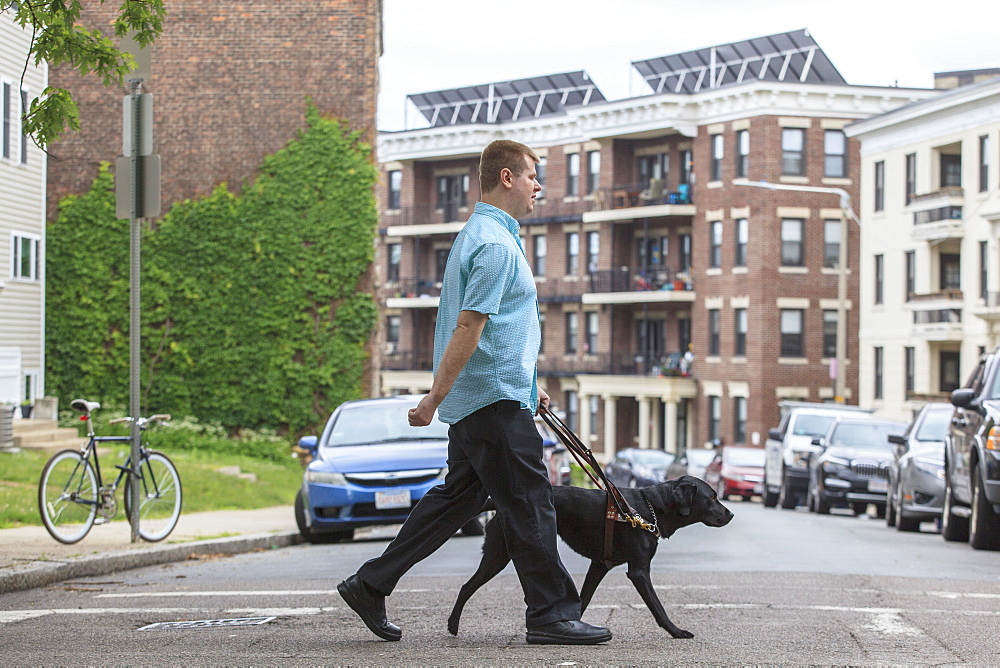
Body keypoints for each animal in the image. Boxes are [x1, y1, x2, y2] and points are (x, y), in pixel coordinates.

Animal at [450, 474, 732, 636]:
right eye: (712, 497)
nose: (730, 514)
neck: (650, 508)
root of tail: (497, 504)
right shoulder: (638, 571)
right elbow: (657, 606)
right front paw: (676, 631)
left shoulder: (599, 565)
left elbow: (583, 600)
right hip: (497, 555)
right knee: (466, 587)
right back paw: (453, 624)